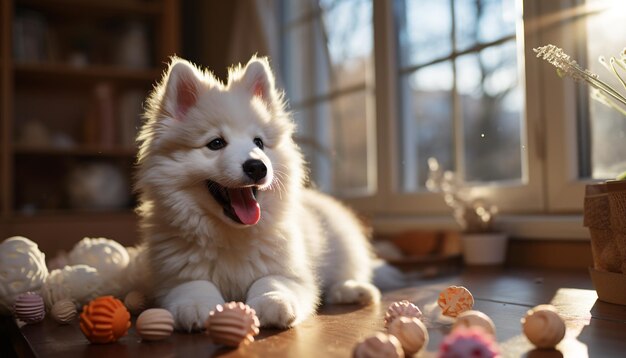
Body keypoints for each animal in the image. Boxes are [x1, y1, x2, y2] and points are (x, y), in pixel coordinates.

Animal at [135, 54, 380, 332]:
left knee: (347, 273)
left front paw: (273, 302)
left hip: (345, 244)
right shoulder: (172, 277)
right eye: (216, 143)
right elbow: (195, 285)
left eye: (259, 143)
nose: (257, 166)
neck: (232, 235)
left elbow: (271, 281)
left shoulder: (291, 272)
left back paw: (354, 290)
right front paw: (195, 305)